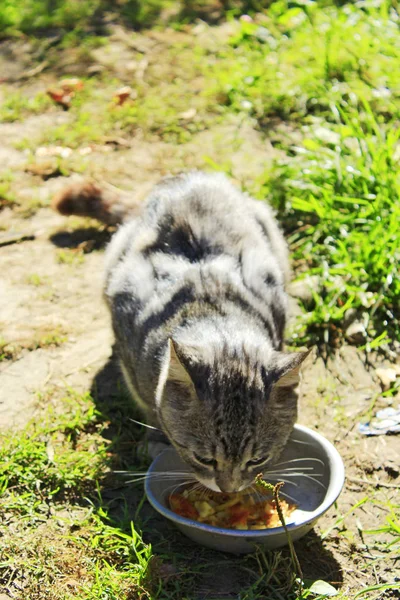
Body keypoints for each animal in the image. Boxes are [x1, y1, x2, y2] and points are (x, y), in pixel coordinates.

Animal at [54, 170, 310, 492]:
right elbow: (149, 406)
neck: (218, 323)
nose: (228, 490)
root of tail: (187, 176)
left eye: (257, 460)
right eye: (204, 459)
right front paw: (155, 436)